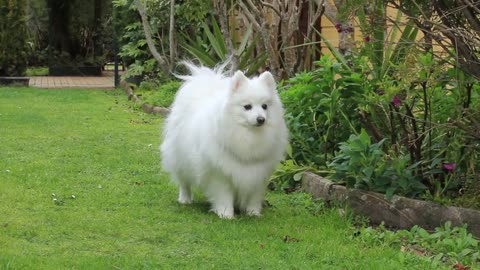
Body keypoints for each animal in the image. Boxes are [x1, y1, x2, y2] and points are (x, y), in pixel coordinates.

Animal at [161, 62, 288, 218]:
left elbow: (254, 196)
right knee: (184, 182)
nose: (261, 119)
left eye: (264, 106)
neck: (249, 137)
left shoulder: (259, 174)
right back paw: (185, 199)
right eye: (247, 107)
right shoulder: (220, 173)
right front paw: (226, 214)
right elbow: (224, 195)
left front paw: (253, 213)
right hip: (180, 160)